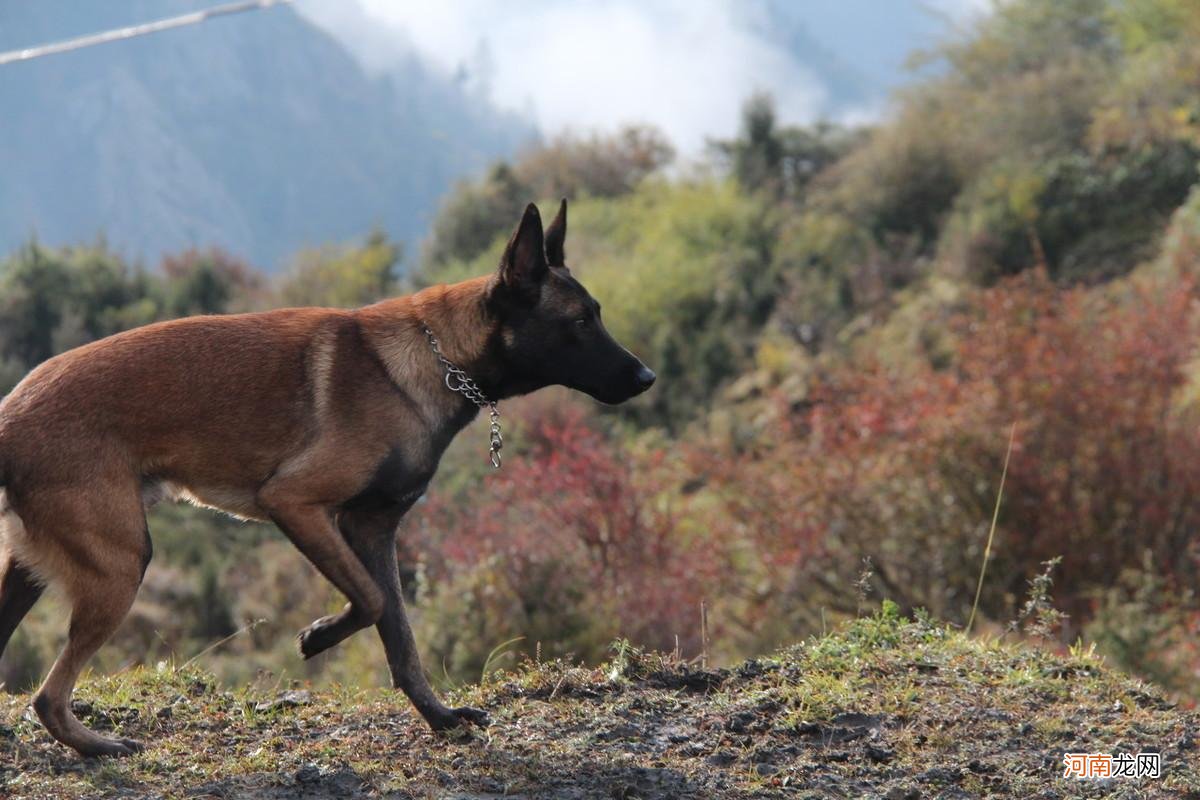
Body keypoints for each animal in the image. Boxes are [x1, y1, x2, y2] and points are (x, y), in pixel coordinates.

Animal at [0, 200, 657, 758]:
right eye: (580, 321)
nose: (647, 377)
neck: (437, 357)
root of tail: (13, 414)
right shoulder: (298, 504)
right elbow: (370, 600)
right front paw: (319, 636)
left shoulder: (374, 529)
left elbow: (401, 636)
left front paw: (439, 718)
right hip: (122, 562)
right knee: (48, 696)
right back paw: (97, 747)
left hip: (32, 572)